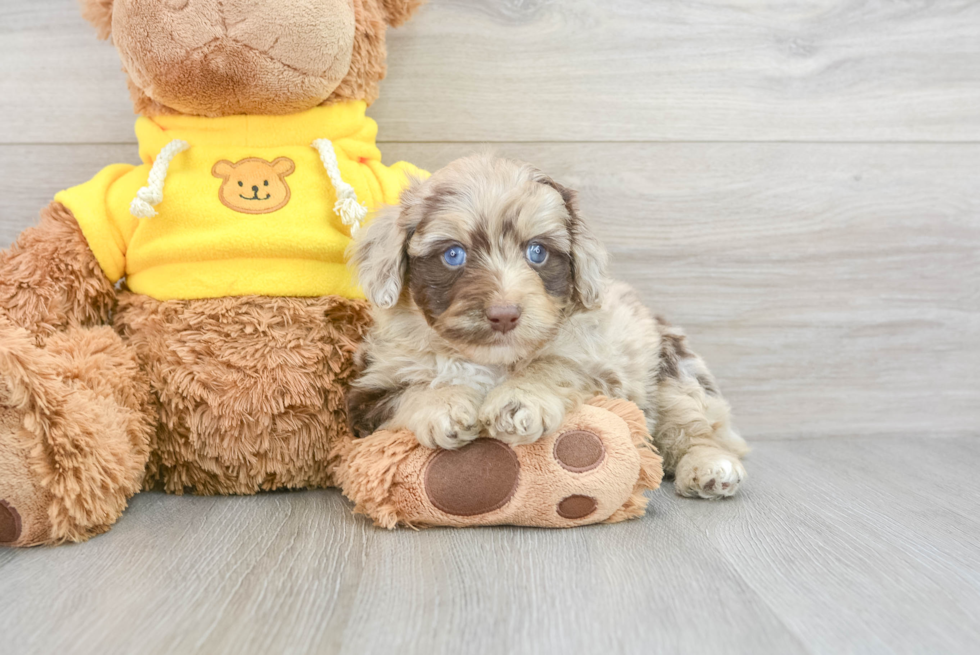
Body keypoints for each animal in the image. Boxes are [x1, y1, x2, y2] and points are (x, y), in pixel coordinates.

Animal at [348, 154, 748, 500]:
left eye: (537, 252)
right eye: (453, 255)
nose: (504, 314)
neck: (493, 361)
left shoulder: (602, 369)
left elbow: (555, 365)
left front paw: (520, 399)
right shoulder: (371, 394)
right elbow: (412, 391)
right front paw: (443, 403)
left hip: (673, 373)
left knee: (697, 428)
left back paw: (710, 467)